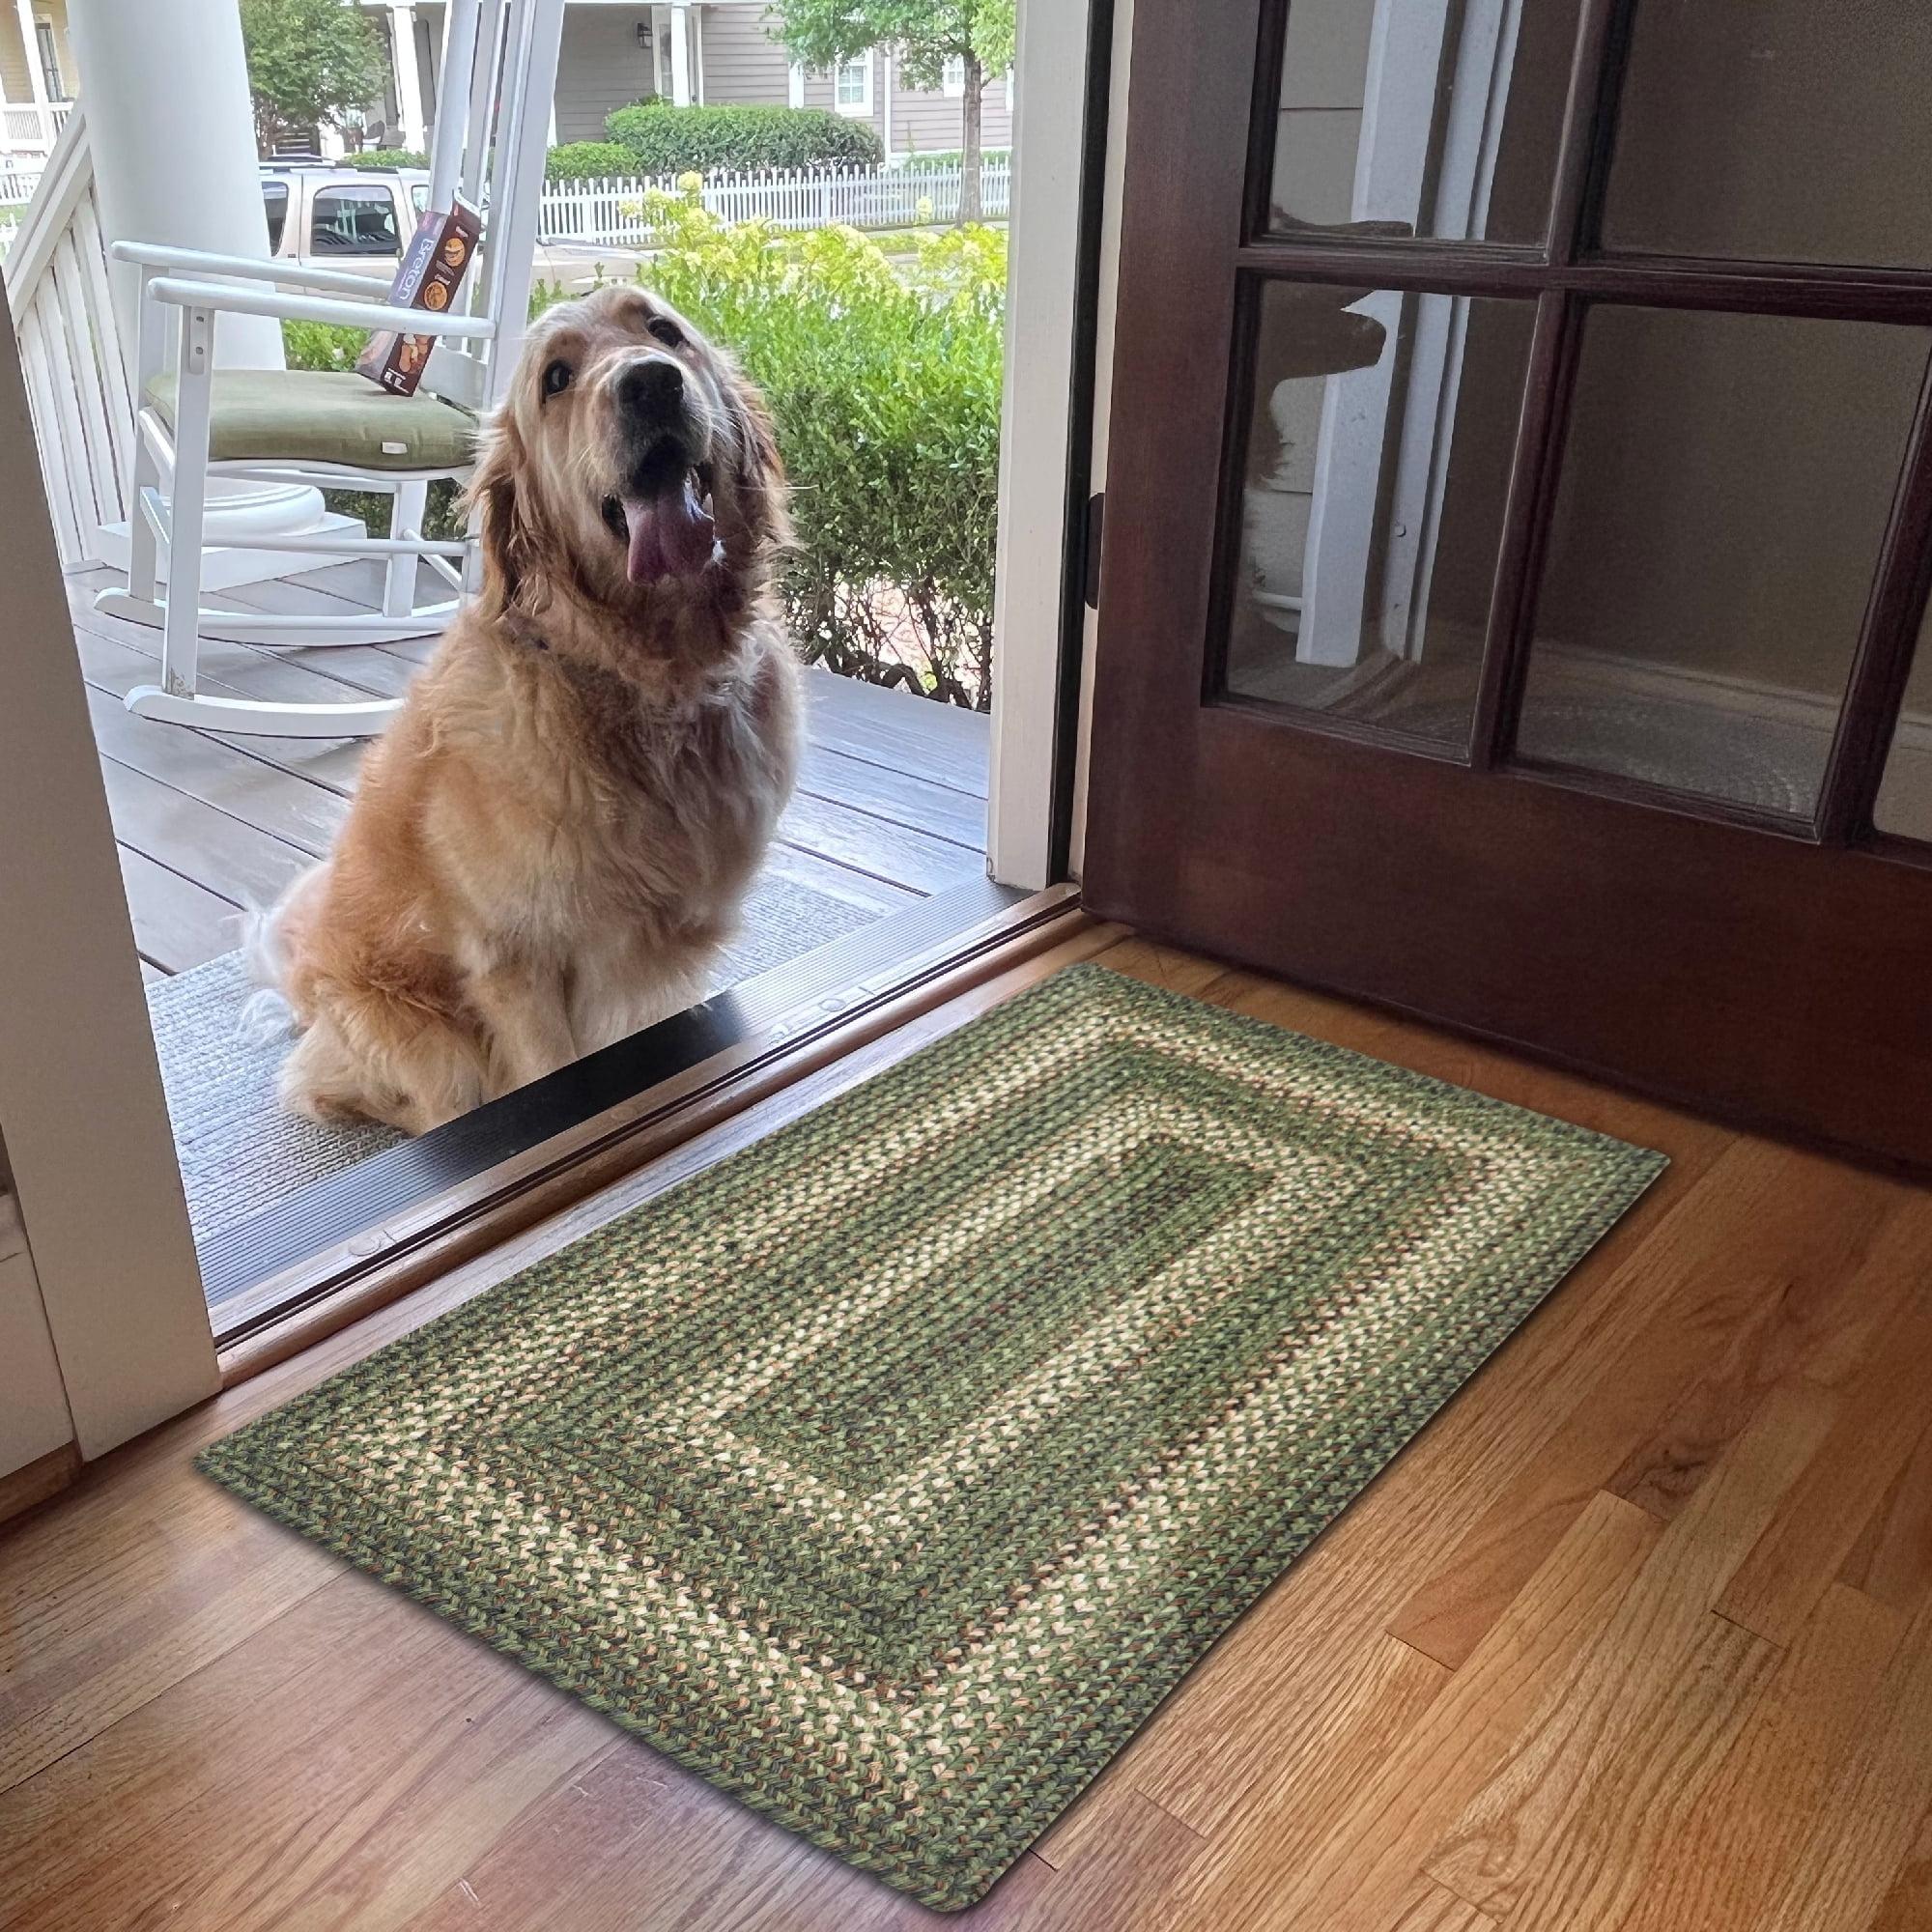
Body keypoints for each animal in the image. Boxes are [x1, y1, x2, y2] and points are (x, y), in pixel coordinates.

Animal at [255, 284, 800, 1128]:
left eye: (665, 331)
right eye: (556, 379)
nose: (650, 382)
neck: (652, 682)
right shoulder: (514, 964)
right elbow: (547, 1073)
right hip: (424, 1041)